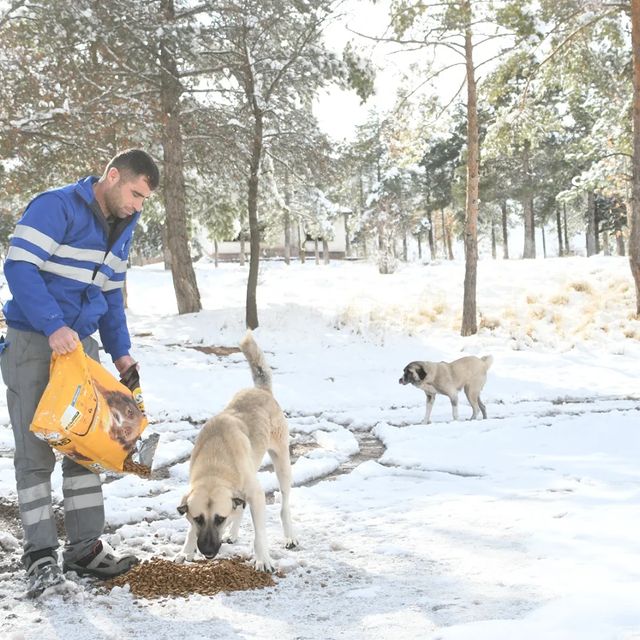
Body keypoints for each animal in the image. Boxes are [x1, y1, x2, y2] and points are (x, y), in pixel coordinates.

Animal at [174, 330, 296, 568]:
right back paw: (233, 532)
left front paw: (263, 559)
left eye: (219, 519)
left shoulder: (257, 496)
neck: (215, 463)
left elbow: (260, 534)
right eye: (198, 518)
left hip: (282, 463)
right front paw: (187, 550)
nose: (208, 551)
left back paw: (289, 536)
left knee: (284, 505)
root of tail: (261, 391)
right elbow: (191, 529)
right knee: (240, 506)